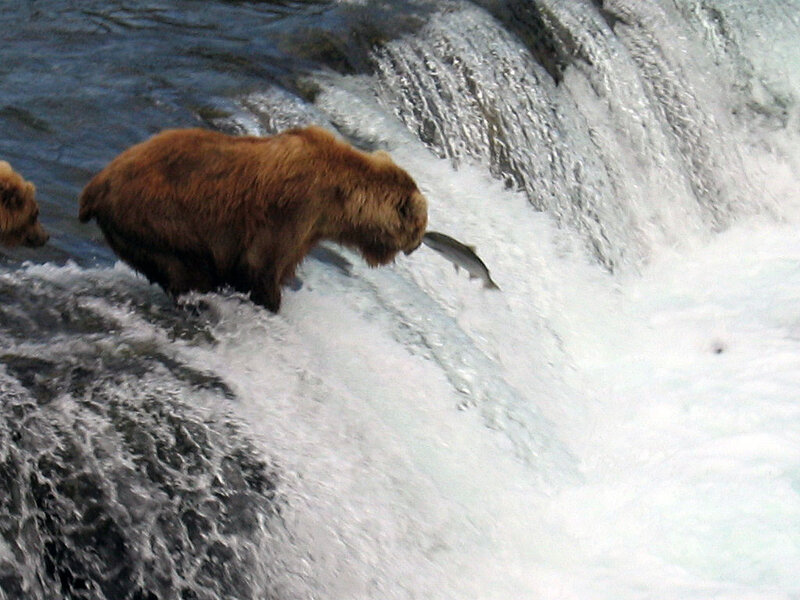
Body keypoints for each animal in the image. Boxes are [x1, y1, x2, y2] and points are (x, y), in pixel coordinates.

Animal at [78, 126, 428, 312]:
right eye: (419, 227)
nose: (417, 247)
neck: (340, 199)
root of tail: (94, 187)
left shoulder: (308, 228)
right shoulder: (294, 207)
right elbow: (259, 265)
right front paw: (270, 301)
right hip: (158, 218)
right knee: (187, 267)